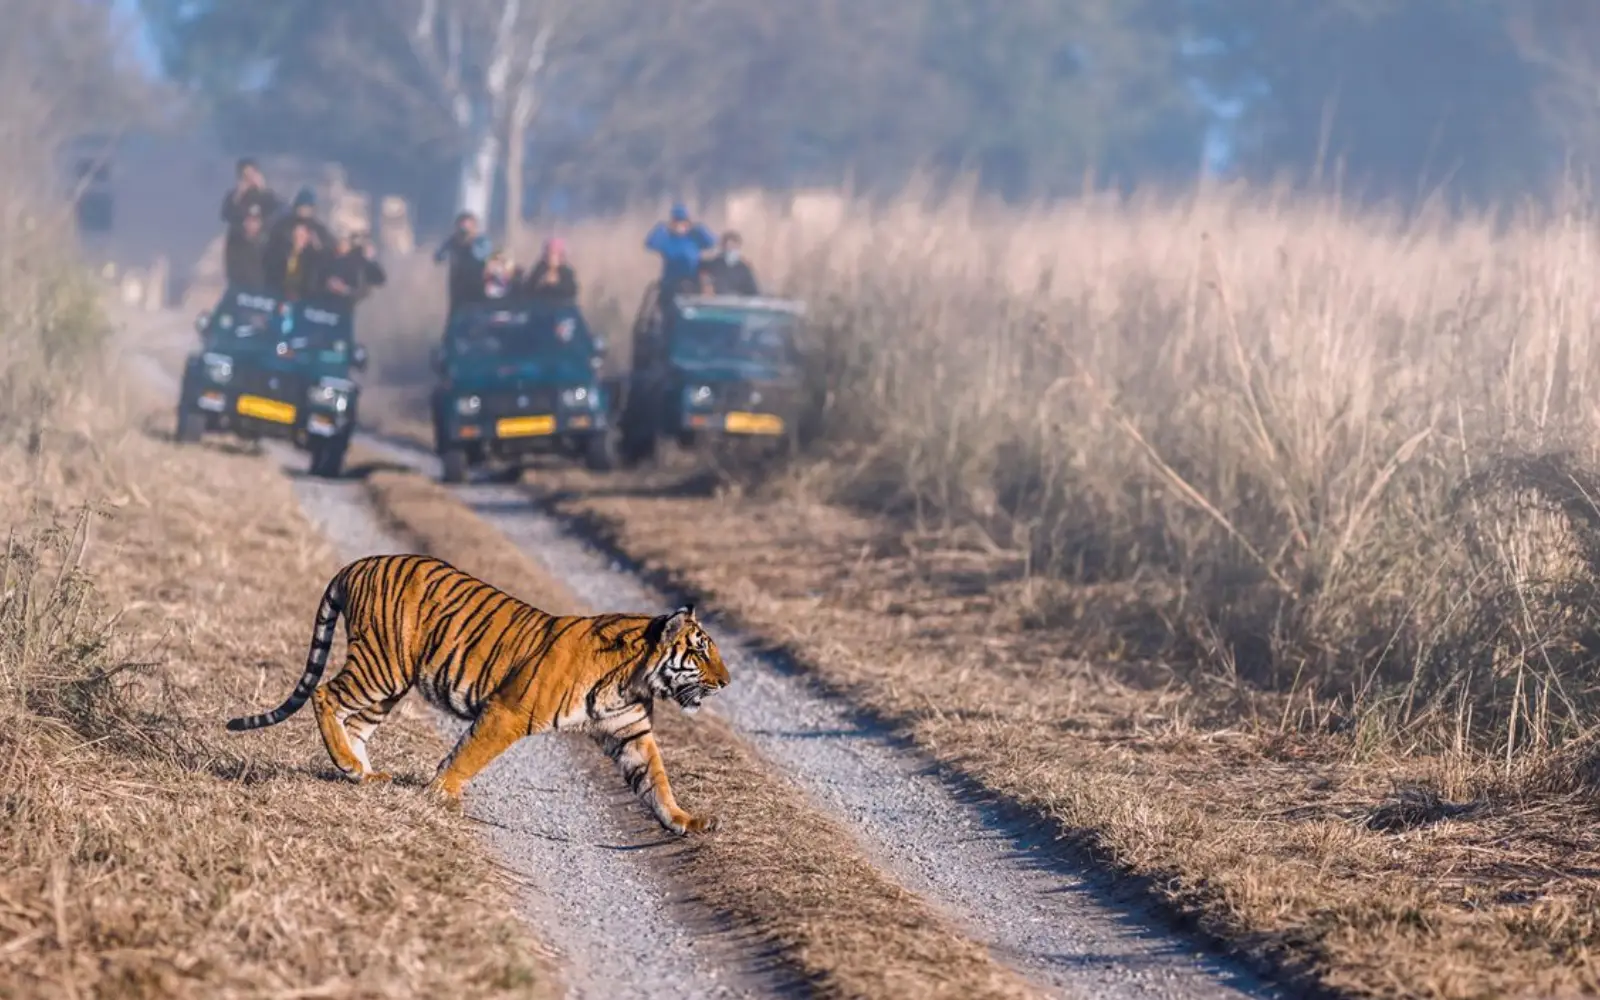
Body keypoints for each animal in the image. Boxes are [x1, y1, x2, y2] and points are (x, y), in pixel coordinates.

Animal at [224, 553, 730, 835]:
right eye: (701, 651)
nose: (726, 681)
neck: (633, 678)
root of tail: (359, 563)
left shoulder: (631, 733)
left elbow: (656, 781)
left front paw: (686, 822)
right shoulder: (509, 711)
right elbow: (470, 754)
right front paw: (442, 794)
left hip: (391, 680)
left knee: (356, 723)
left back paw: (361, 775)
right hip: (381, 666)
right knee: (325, 694)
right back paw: (349, 765)